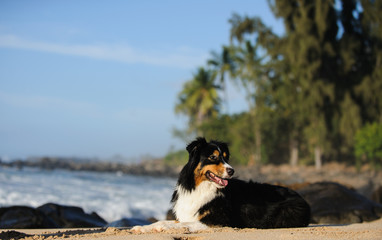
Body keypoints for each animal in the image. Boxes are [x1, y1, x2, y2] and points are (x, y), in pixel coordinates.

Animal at [131, 139, 310, 232]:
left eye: (225, 157)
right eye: (213, 157)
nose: (232, 170)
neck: (201, 187)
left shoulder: (217, 220)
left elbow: (182, 224)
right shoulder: (189, 214)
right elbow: (165, 222)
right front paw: (141, 228)